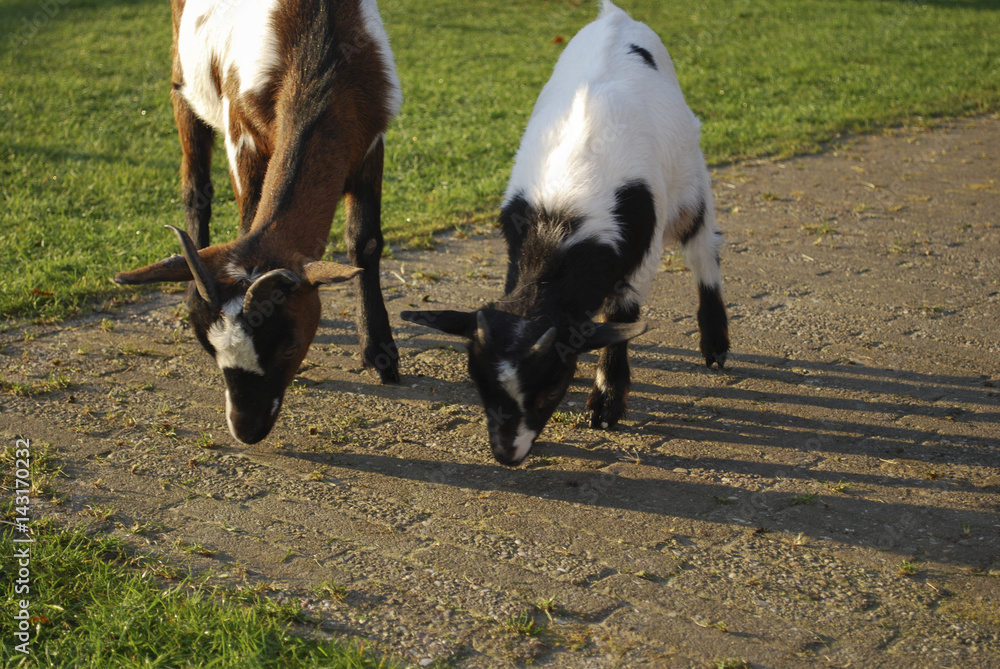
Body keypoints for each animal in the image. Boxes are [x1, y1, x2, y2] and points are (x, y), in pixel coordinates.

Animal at [114, 0, 402, 444]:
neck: (318, 51)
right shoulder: (242, 133)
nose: (246, 429)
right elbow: (247, 214)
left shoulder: (369, 140)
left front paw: (381, 353)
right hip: (184, 84)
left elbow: (364, 242)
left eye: (289, 345)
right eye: (209, 348)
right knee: (196, 187)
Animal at [402, 1, 729, 466]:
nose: (506, 454)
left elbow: (622, 317)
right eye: (478, 383)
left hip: (689, 174)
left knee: (703, 246)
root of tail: (615, 17)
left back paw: (715, 342)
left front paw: (606, 405)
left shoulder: (641, 254)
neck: (559, 226)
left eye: (552, 386)